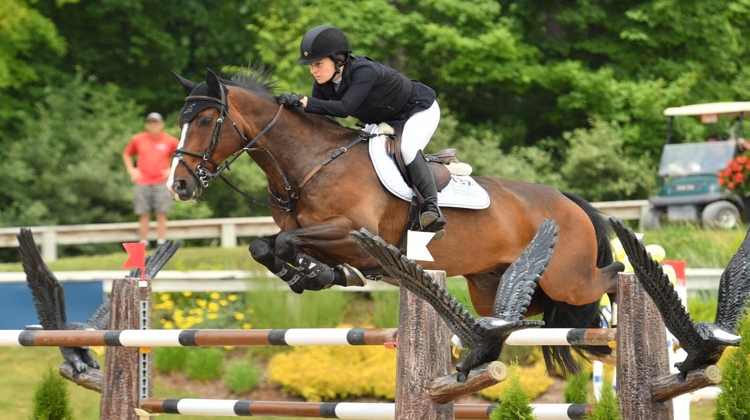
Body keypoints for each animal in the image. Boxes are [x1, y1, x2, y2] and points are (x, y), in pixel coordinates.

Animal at [169, 68, 624, 374]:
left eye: (206, 121)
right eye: (181, 121)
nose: (180, 186)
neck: (312, 163)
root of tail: (568, 201)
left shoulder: (352, 235)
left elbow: (284, 244)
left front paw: (319, 274)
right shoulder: (312, 234)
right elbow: (265, 245)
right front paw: (316, 276)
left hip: (568, 279)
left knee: (612, 276)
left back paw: (619, 320)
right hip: (496, 287)